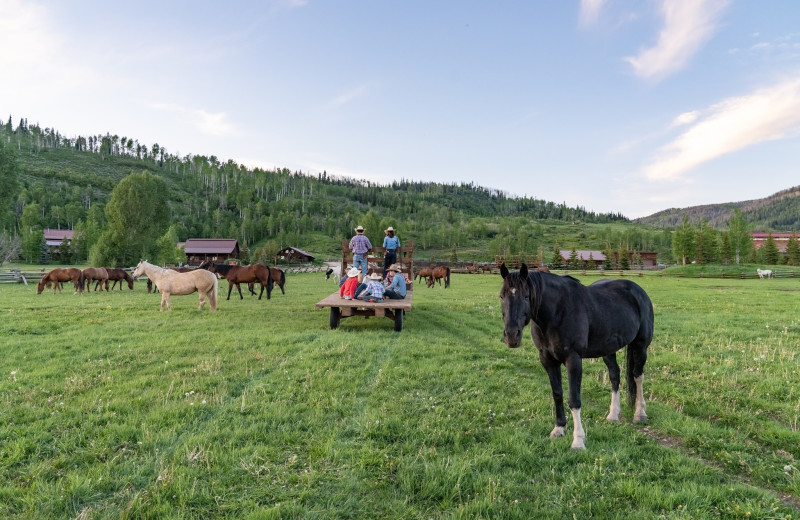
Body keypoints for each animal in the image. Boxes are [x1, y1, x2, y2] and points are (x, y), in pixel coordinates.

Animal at [500, 264, 656, 450]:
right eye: (501, 296)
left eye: (526, 295)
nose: (511, 336)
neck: (557, 312)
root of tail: (639, 291)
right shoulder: (547, 360)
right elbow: (557, 394)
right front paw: (559, 429)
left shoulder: (573, 360)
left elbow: (574, 400)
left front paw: (578, 441)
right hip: (608, 350)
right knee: (615, 376)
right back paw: (613, 415)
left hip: (640, 346)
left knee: (638, 376)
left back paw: (640, 413)